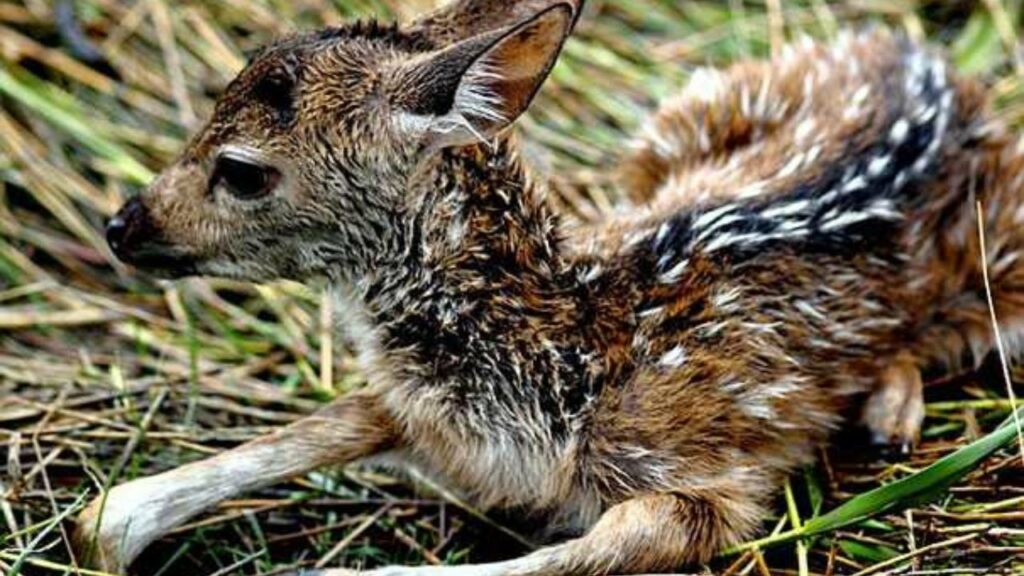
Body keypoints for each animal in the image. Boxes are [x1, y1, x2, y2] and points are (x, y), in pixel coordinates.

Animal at [81, 0, 1024, 569]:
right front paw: (108, 527)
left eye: (242, 171)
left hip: (1007, 273)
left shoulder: (708, 481)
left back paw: (889, 417)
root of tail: (930, 57)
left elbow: (589, 549)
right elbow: (321, 426)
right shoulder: (419, 407)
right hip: (666, 133)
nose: (122, 225)